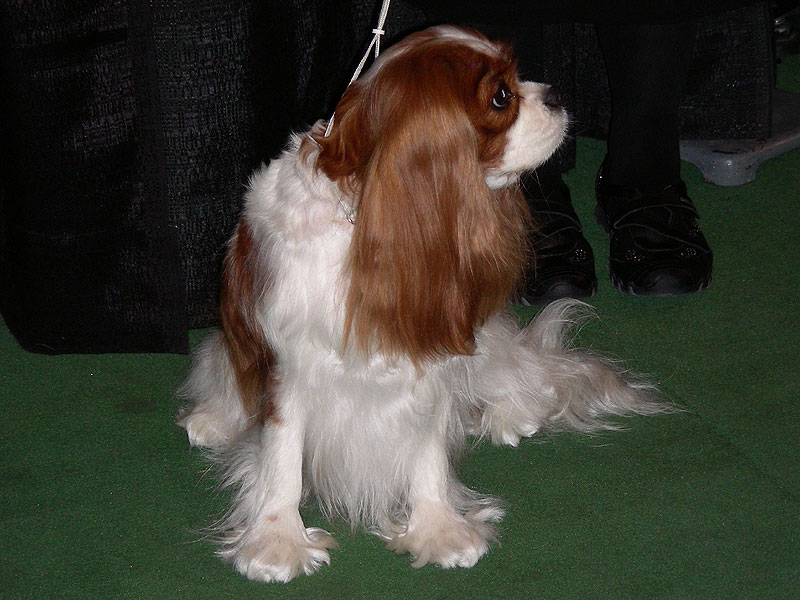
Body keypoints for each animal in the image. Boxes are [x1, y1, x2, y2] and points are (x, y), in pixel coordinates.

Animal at [178, 25, 660, 584]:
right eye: (502, 97)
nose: (557, 95)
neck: (365, 218)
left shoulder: (433, 339)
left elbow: (428, 448)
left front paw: (438, 527)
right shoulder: (288, 364)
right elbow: (282, 459)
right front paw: (278, 540)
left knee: (522, 374)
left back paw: (509, 412)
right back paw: (216, 416)